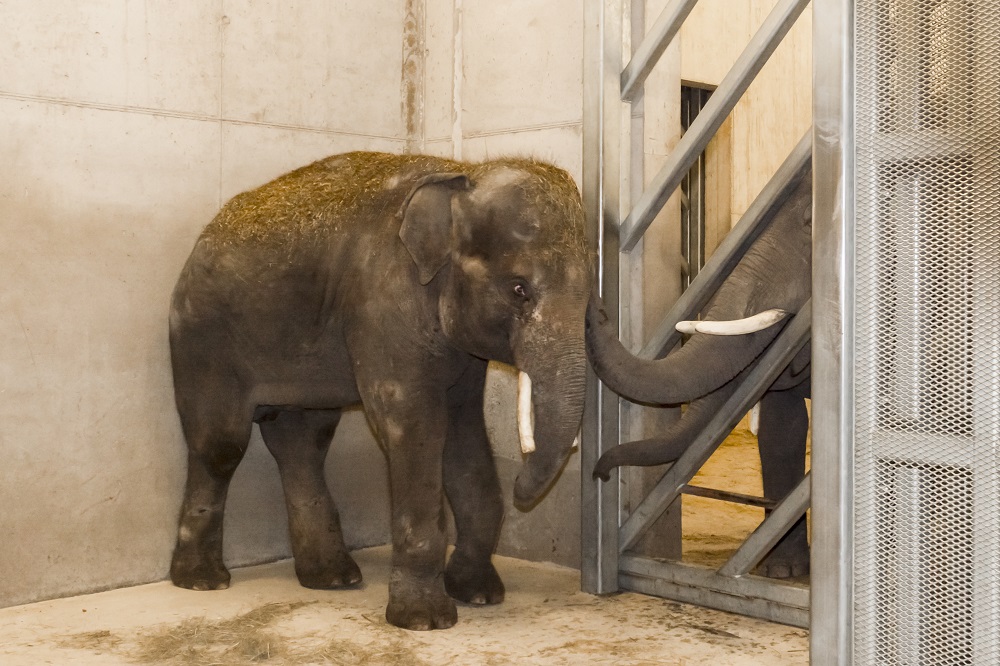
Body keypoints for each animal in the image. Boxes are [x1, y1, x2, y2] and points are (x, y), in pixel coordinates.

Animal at [170, 150, 592, 628]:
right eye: (519, 289)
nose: (521, 483)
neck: (460, 172)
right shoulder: (382, 301)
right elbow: (413, 425)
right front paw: (425, 620)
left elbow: (463, 430)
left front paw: (480, 595)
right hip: (201, 336)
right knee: (220, 445)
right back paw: (203, 582)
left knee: (302, 441)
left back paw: (333, 579)